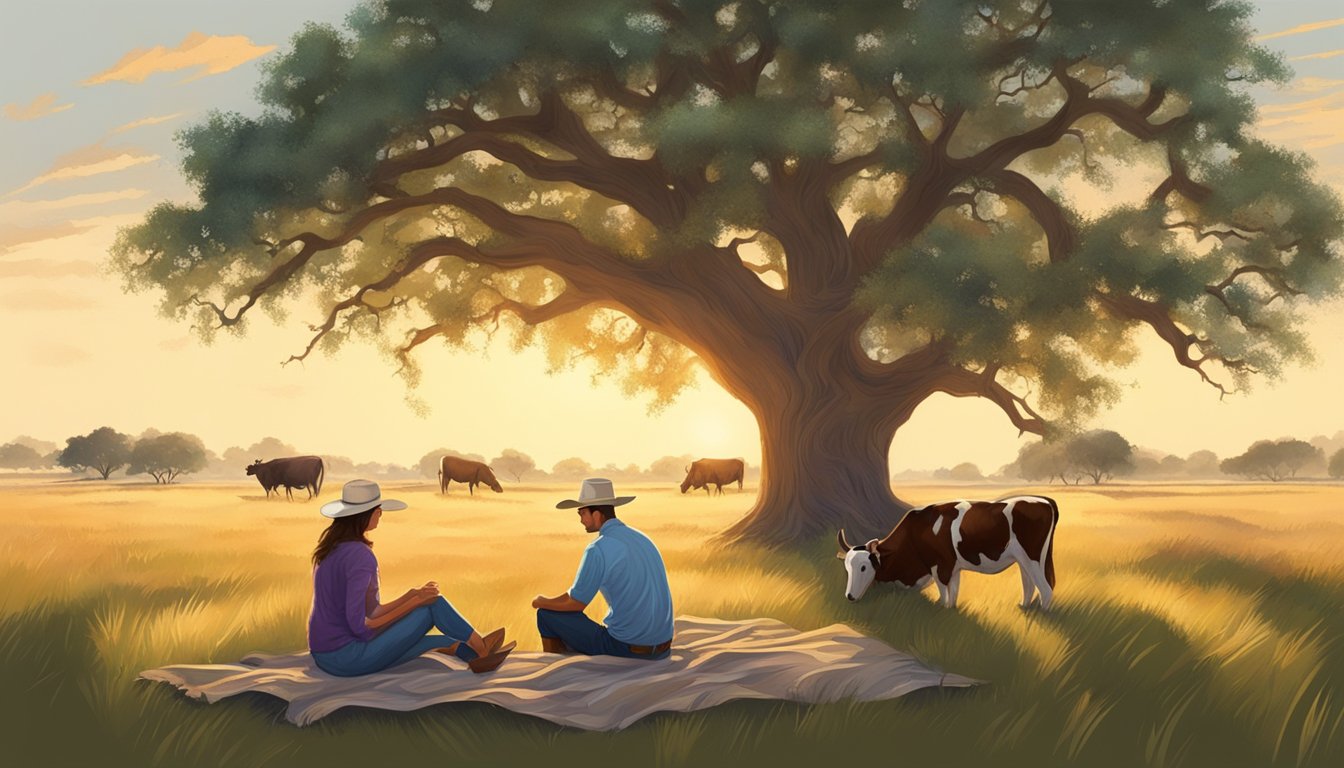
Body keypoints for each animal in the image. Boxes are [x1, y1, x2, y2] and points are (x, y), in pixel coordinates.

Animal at [827, 497, 1059, 613]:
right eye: (846, 568)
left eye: (864, 567)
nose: (849, 596)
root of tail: (1044, 501)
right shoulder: (953, 567)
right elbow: (954, 590)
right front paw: (951, 609)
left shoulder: (939, 565)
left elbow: (943, 590)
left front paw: (941, 607)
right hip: (1023, 560)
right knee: (1029, 584)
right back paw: (1024, 606)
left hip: (1033, 557)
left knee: (1046, 588)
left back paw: (1043, 613)